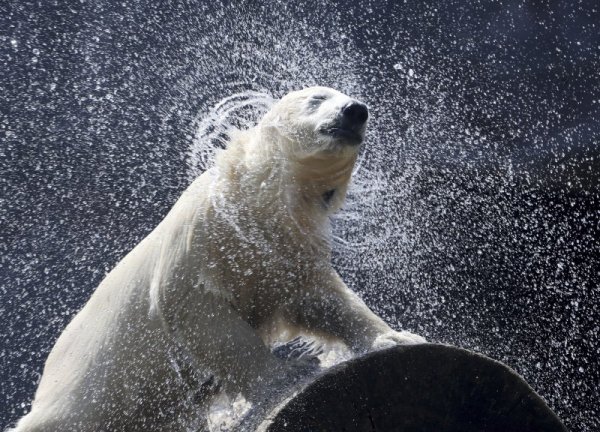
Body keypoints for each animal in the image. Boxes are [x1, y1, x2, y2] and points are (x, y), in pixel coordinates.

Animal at [11, 88, 424, 432]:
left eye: (349, 99)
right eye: (317, 97)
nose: (355, 110)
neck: (252, 206)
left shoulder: (288, 247)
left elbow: (320, 299)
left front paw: (395, 337)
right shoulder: (202, 239)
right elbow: (206, 317)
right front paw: (287, 373)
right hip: (82, 400)